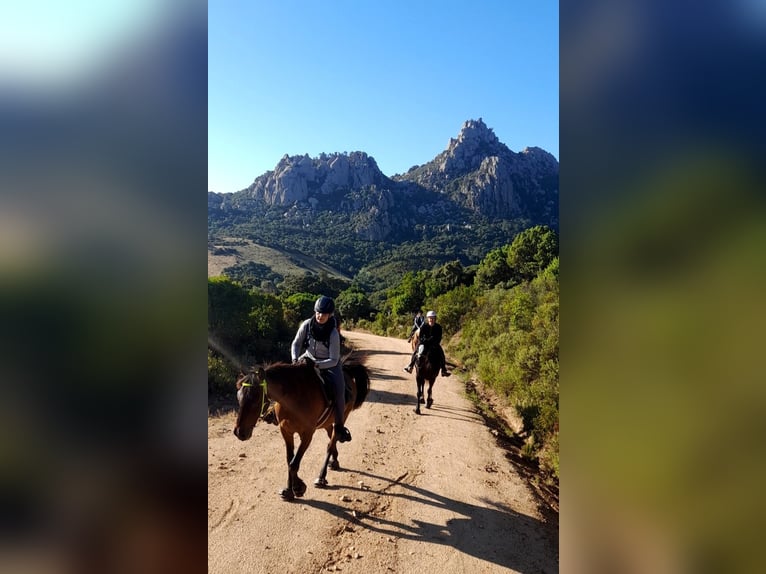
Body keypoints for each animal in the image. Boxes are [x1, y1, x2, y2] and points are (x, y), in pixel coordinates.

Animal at [232, 358, 370, 502]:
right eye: (238, 397)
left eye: (256, 399)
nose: (239, 432)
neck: (293, 397)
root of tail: (346, 371)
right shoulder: (286, 431)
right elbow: (289, 460)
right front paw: (289, 490)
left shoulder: (307, 434)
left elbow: (294, 463)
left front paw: (298, 487)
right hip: (326, 422)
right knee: (331, 436)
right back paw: (334, 461)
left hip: (342, 416)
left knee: (332, 441)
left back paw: (321, 477)